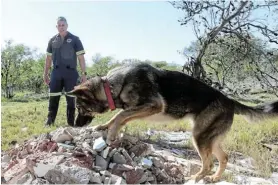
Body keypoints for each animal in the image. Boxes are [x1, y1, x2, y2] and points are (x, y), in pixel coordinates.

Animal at [68, 62, 278, 182]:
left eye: (80, 108)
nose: (75, 125)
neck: (112, 86)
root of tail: (230, 100)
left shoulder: (153, 105)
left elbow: (120, 116)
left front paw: (112, 133)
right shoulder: (138, 109)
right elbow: (118, 116)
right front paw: (106, 127)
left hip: (199, 137)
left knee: (209, 163)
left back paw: (195, 177)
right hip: (209, 138)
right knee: (224, 158)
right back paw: (214, 178)